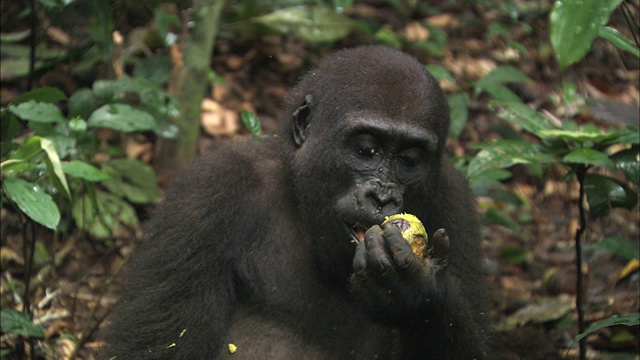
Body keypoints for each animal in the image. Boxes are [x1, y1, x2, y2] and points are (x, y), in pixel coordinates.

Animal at [107, 45, 490, 360]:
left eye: (409, 160)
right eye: (366, 150)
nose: (382, 196)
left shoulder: (455, 200)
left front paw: (416, 294)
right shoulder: (207, 190)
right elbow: (162, 346)